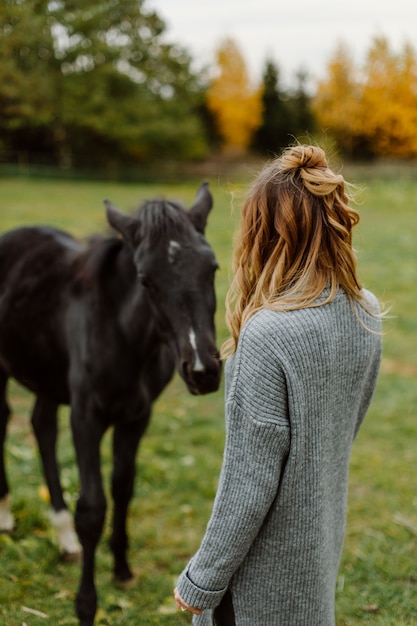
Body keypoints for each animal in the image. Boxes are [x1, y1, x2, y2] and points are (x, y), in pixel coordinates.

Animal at [0, 183, 221, 624]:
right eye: (145, 279)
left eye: (212, 268)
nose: (203, 370)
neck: (123, 336)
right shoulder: (86, 416)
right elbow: (92, 508)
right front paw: (86, 605)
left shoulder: (136, 417)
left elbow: (123, 487)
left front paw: (121, 568)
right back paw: (6, 515)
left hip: (47, 379)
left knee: (41, 427)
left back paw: (64, 538)